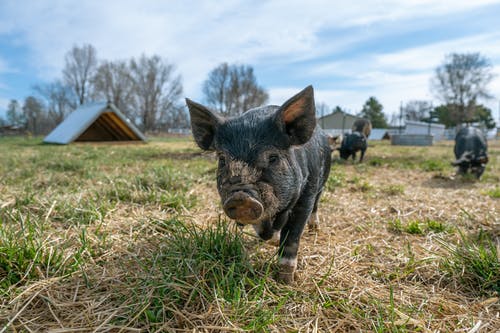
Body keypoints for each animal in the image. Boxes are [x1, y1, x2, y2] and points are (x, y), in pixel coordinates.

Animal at [188, 85, 332, 282]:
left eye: (272, 157)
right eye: (222, 159)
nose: (241, 196)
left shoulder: (306, 195)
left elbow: (292, 237)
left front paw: (285, 281)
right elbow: (265, 231)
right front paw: (272, 241)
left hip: (322, 183)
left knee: (317, 205)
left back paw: (314, 229)